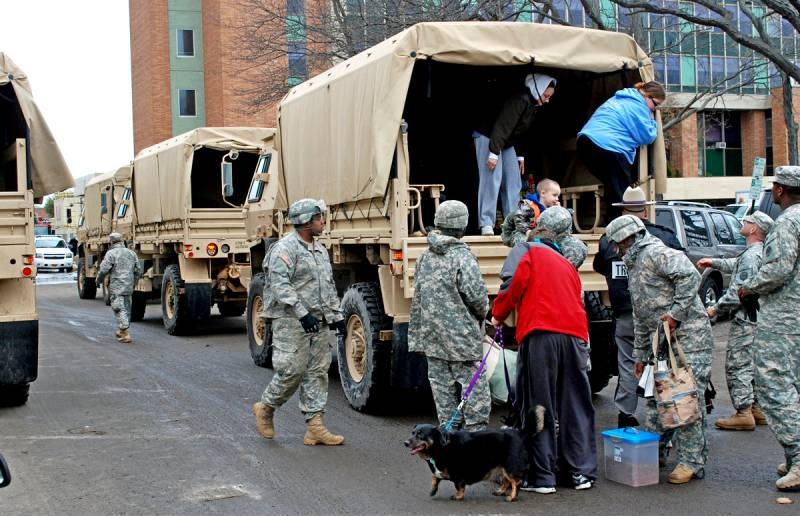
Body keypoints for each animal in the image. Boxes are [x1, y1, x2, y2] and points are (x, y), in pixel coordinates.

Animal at [406, 408, 544, 500]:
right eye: (413, 433)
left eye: (420, 435)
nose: (405, 443)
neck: (441, 445)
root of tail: (521, 433)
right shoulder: (440, 471)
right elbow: (435, 477)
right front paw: (433, 490)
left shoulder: (458, 473)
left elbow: (458, 486)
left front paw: (458, 496)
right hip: (504, 466)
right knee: (506, 481)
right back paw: (500, 492)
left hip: (511, 465)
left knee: (516, 482)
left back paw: (512, 497)